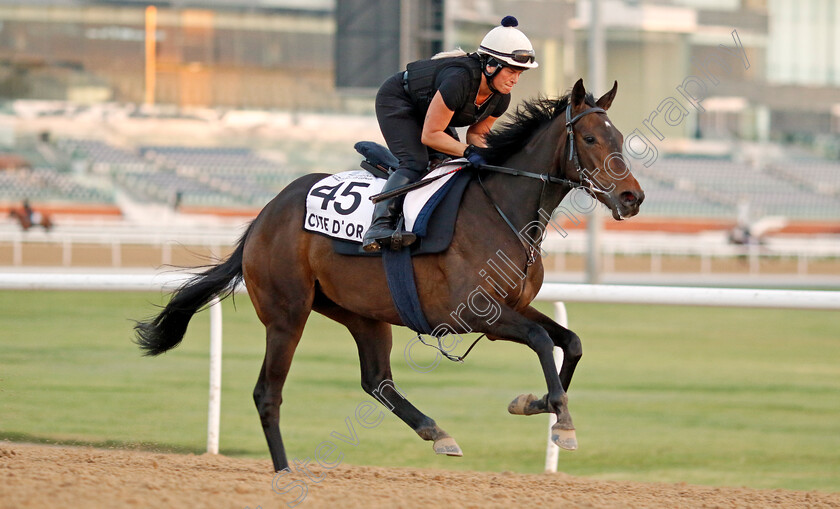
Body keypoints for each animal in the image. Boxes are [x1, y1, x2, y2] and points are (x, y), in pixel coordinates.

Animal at [135, 79, 644, 472]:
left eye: (619, 138)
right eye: (592, 140)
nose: (632, 197)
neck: (503, 209)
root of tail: (263, 217)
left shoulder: (513, 307)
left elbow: (570, 341)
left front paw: (536, 405)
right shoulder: (477, 315)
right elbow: (541, 341)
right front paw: (561, 421)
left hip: (362, 313)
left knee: (376, 380)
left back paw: (436, 432)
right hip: (287, 314)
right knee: (268, 393)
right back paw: (283, 470)